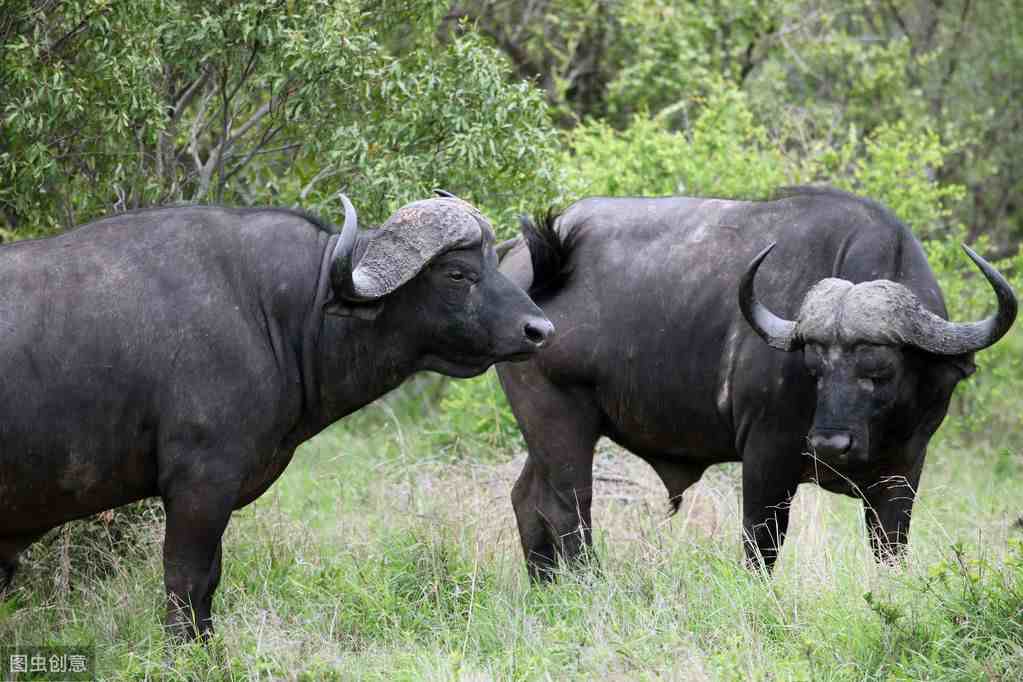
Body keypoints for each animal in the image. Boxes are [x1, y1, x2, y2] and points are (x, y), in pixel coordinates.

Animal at [0, 193, 552, 642]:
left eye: (494, 263)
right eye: (457, 273)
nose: (540, 330)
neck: (273, 308)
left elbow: (208, 584)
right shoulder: (200, 486)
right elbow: (186, 581)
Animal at [495, 184, 1014, 580]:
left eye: (879, 370)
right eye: (814, 367)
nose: (829, 444)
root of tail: (523, 258)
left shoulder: (904, 471)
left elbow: (890, 549)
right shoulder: (767, 458)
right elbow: (761, 547)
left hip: (547, 429)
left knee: (527, 498)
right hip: (561, 419)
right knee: (567, 507)